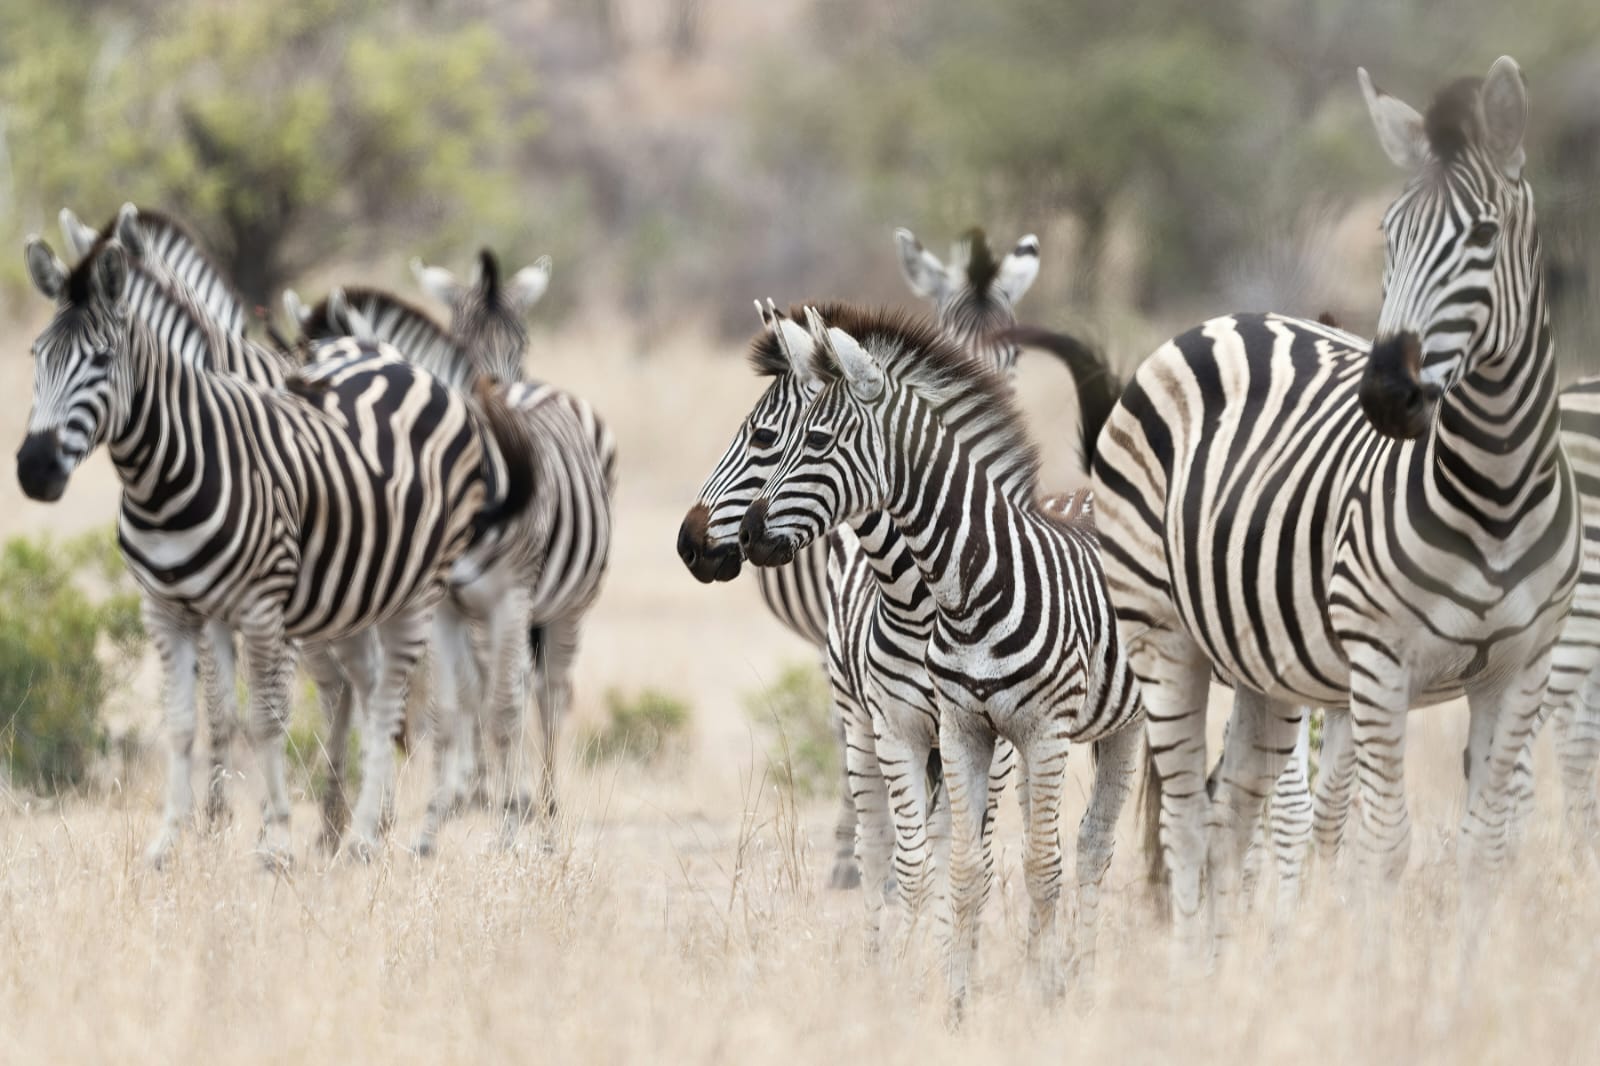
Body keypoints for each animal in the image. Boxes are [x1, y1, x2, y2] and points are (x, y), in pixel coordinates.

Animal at [17, 233, 531, 864]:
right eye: (38, 355)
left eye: (102, 359)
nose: (34, 468)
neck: (166, 476)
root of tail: (409, 367)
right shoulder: (166, 610)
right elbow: (187, 722)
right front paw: (173, 840)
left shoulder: (264, 609)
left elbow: (268, 720)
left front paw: (275, 840)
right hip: (360, 590)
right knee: (373, 691)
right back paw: (360, 822)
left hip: (421, 590)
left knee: (401, 700)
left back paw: (372, 832)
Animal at [288, 283, 614, 850]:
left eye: (343, 376)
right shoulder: (439, 605)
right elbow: (445, 710)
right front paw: (428, 828)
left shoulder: (507, 598)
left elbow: (500, 711)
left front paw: (506, 831)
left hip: (565, 609)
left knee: (549, 698)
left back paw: (546, 818)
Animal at [741, 307, 1144, 1013]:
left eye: (814, 441)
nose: (748, 533)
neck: (970, 585)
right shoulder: (958, 730)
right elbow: (958, 865)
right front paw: (952, 999)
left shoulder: (1040, 733)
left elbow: (1040, 865)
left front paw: (1041, 996)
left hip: (1144, 714)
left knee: (1109, 842)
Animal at [1091, 57, 1580, 962]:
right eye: (1389, 233)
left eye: (1483, 236)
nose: (1386, 392)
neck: (1493, 491)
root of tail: (1226, 317)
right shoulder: (1382, 664)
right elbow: (1383, 844)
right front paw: (1378, 976)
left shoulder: (1520, 668)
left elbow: (1489, 845)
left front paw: (1466, 974)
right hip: (1160, 632)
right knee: (1186, 823)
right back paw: (1191, 976)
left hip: (1263, 668)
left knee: (1230, 817)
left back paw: (1230, 973)